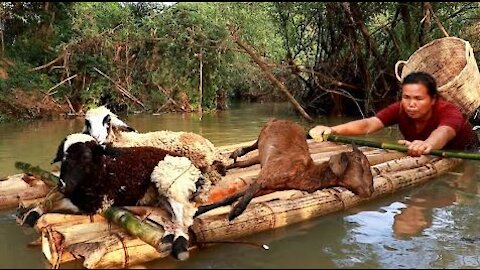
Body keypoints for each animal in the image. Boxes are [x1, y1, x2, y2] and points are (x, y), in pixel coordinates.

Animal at [195, 118, 376, 221]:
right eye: (361, 162)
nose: (371, 189)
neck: (304, 174)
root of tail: (278, 118)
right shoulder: (264, 177)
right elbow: (240, 197)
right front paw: (233, 213)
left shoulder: (268, 187)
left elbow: (233, 196)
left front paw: (201, 210)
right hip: (262, 133)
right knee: (253, 144)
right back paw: (236, 152)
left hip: (260, 157)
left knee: (241, 163)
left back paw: (224, 165)